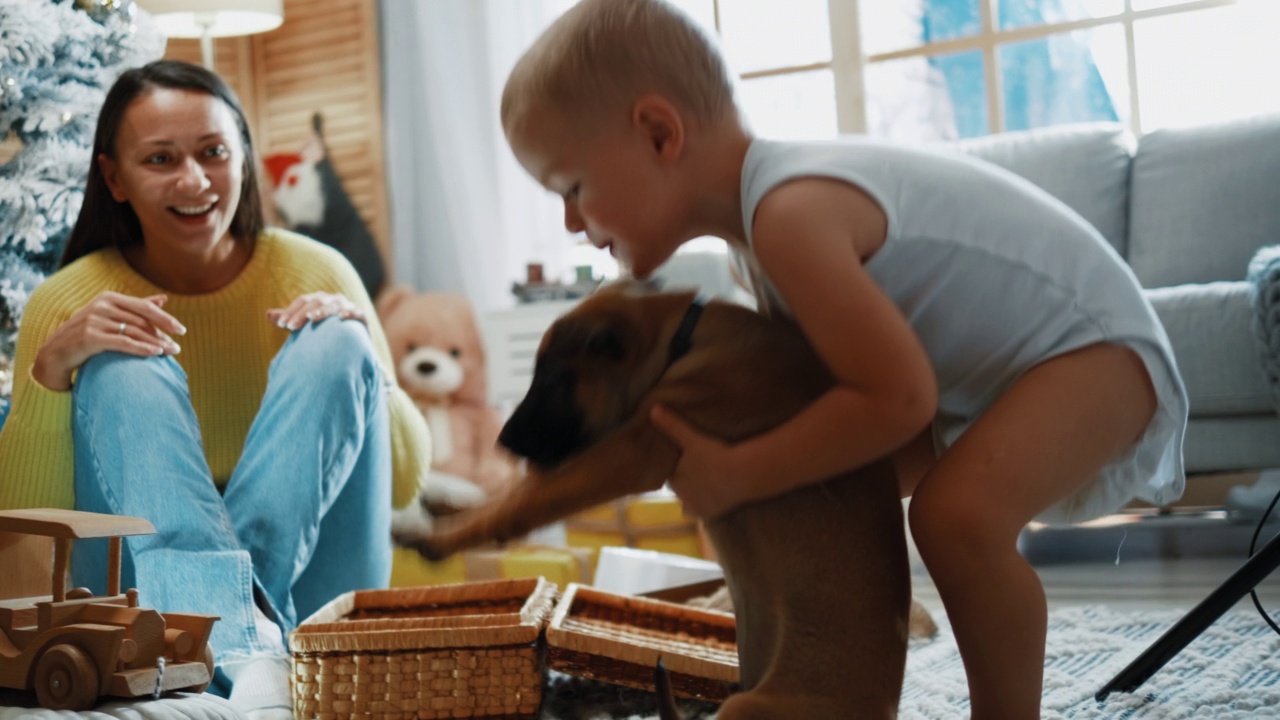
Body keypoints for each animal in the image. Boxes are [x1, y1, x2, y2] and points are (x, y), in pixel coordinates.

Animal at [396, 283, 911, 712]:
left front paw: (439, 536)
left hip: (753, 709)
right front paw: (446, 507)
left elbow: (529, 497)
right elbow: (519, 491)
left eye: (556, 380)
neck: (682, 341)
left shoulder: (630, 451)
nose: (503, 442)